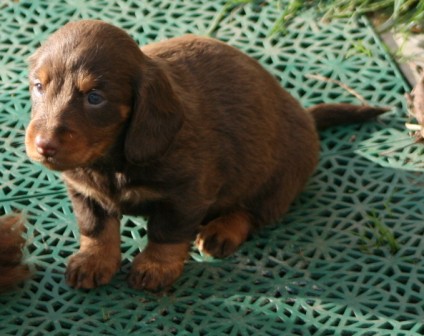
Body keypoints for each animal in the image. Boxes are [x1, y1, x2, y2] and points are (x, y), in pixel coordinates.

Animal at [24, 19, 386, 290]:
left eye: (95, 98)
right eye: (38, 86)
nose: (43, 145)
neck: (113, 161)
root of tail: (308, 118)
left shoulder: (186, 195)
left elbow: (166, 233)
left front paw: (155, 267)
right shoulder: (85, 192)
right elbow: (96, 228)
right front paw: (93, 261)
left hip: (278, 181)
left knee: (251, 212)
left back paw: (221, 230)